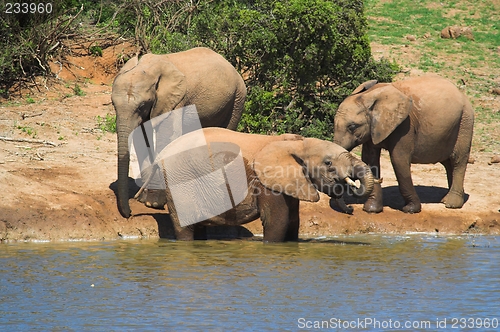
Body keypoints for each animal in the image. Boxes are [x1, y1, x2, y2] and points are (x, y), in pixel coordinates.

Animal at [112, 46, 247, 218]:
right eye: (113, 104)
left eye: (142, 105)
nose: (129, 213)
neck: (148, 67)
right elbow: (142, 140)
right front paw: (145, 200)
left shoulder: (176, 101)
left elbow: (167, 139)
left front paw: (154, 203)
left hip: (237, 99)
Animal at [141, 127, 376, 241]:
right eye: (328, 163)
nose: (351, 210)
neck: (298, 143)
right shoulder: (266, 183)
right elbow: (277, 223)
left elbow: (293, 222)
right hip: (179, 181)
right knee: (186, 226)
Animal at [334, 74, 474, 214]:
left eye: (352, 127)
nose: (351, 208)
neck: (369, 95)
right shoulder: (372, 129)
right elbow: (369, 160)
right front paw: (371, 210)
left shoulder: (405, 126)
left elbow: (398, 160)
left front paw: (410, 209)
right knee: (448, 163)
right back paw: (446, 199)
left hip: (465, 122)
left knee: (458, 160)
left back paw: (451, 204)